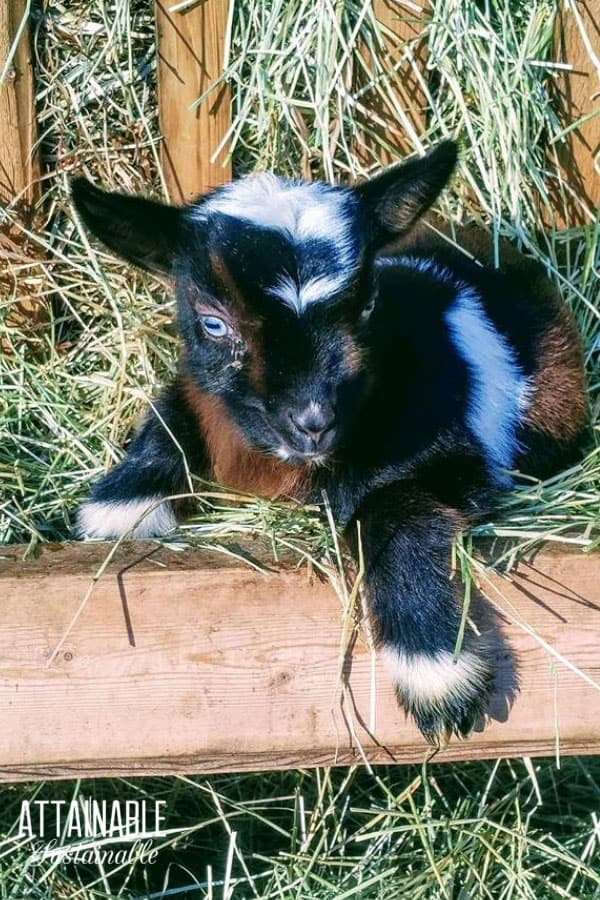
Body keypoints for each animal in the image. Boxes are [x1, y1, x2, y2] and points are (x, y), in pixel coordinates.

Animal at [70, 144, 584, 740]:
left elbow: (394, 510)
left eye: (366, 304)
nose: (313, 421)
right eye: (213, 323)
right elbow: (171, 410)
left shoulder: (465, 464)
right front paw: (122, 505)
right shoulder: (202, 391)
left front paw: (437, 673)